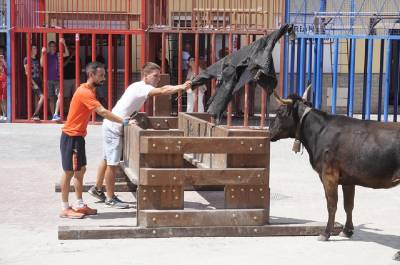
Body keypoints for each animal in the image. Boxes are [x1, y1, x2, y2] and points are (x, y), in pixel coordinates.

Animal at [268, 89, 400, 243]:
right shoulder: (349, 179)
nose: (269, 131)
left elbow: (331, 204)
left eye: (279, 113)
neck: (320, 132)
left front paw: (326, 233)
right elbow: (348, 205)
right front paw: (347, 231)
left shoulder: (328, 175)